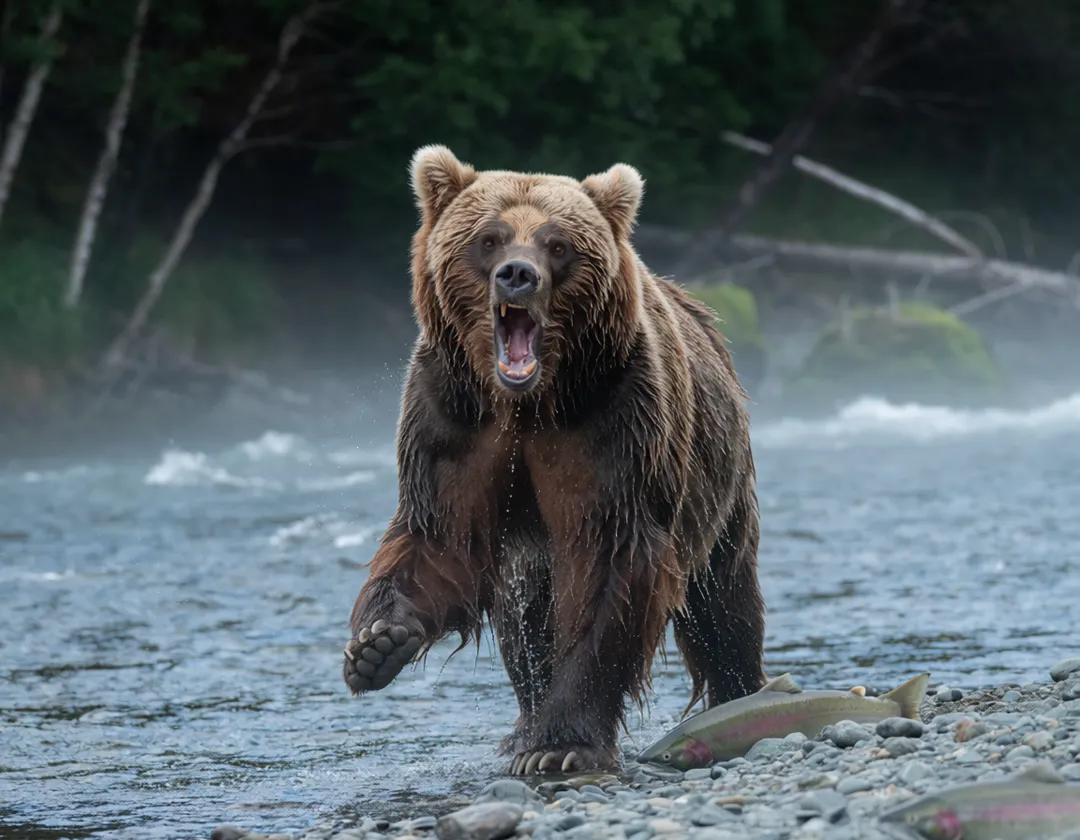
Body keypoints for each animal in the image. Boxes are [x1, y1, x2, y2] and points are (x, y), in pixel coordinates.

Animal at [342, 145, 767, 775]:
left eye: (558, 244)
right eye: (489, 238)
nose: (518, 274)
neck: (528, 403)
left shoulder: (615, 424)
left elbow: (610, 565)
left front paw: (562, 744)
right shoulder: (453, 421)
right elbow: (440, 535)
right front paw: (376, 644)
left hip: (719, 480)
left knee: (725, 601)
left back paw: (742, 695)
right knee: (523, 625)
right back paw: (521, 724)